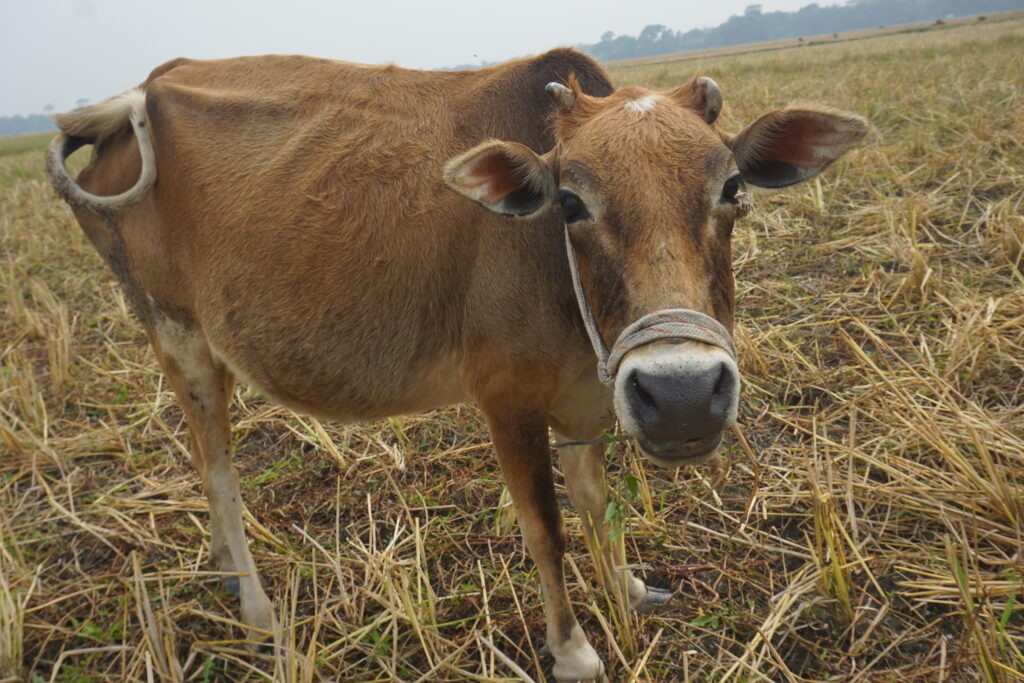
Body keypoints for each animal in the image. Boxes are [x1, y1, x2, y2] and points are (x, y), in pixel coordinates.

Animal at [46, 48, 866, 681]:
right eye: (570, 202)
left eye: (731, 187)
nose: (685, 392)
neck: (552, 268)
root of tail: (137, 96)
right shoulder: (506, 400)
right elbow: (545, 528)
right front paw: (573, 652)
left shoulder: (592, 396)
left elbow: (596, 503)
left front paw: (627, 588)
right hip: (175, 329)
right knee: (216, 468)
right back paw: (256, 611)